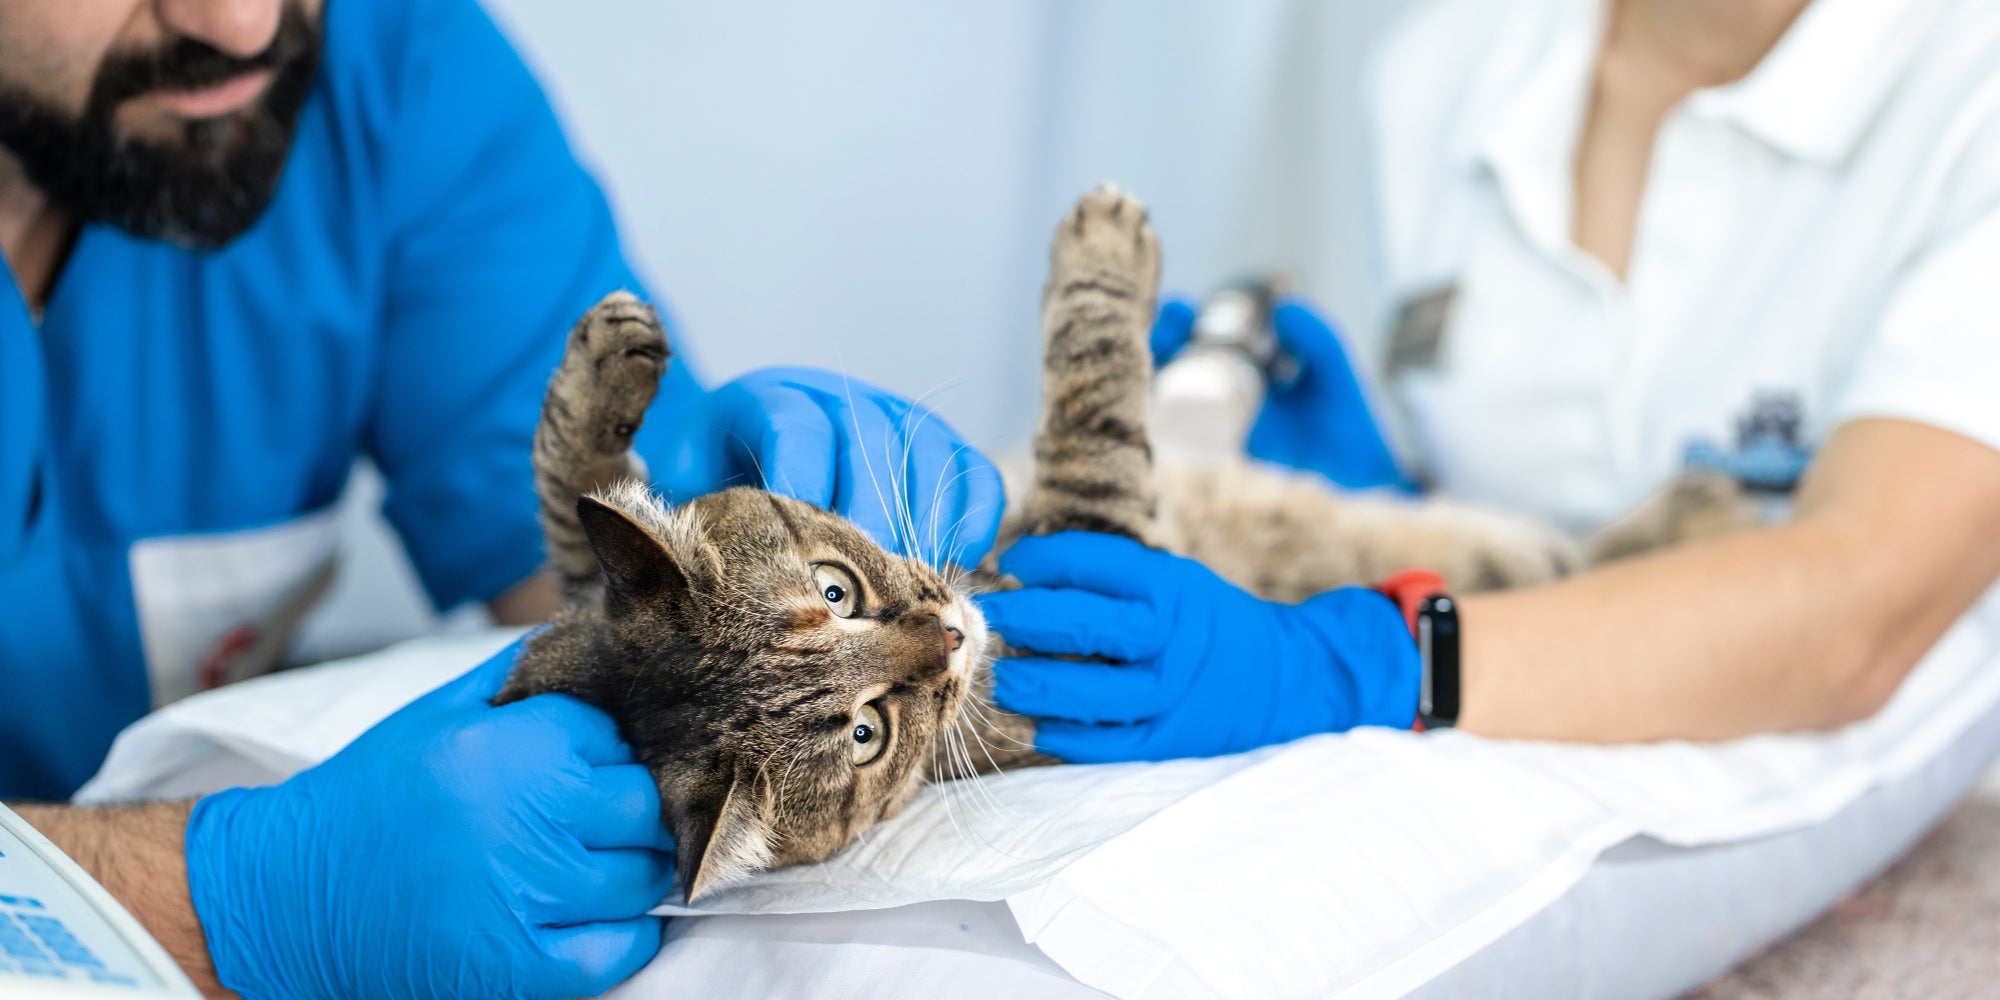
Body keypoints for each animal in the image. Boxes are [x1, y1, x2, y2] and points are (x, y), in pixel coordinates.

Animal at [488, 184, 1752, 904]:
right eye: (863, 733)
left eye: (835, 589)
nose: (947, 633)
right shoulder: (1098, 536)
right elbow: (1094, 398)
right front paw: (1105, 260)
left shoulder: (579, 594)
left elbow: (569, 492)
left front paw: (598, 368)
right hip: (1501, 562)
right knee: (1565, 553)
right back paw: (1702, 503)